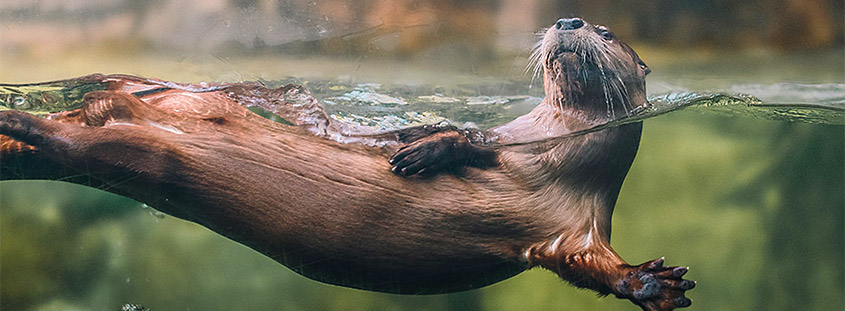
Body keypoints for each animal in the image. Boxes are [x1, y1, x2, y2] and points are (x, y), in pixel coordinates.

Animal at [0, 18, 692, 310]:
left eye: (607, 31)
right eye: (578, 19)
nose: (571, 16)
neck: (554, 150)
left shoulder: (575, 223)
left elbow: (587, 264)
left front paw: (652, 283)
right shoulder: (510, 140)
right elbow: (468, 137)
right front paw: (417, 146)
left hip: (147, 154)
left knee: (79, 140)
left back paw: (21, 127)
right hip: (156, 135)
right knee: (84, 129)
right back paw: (23, 121)